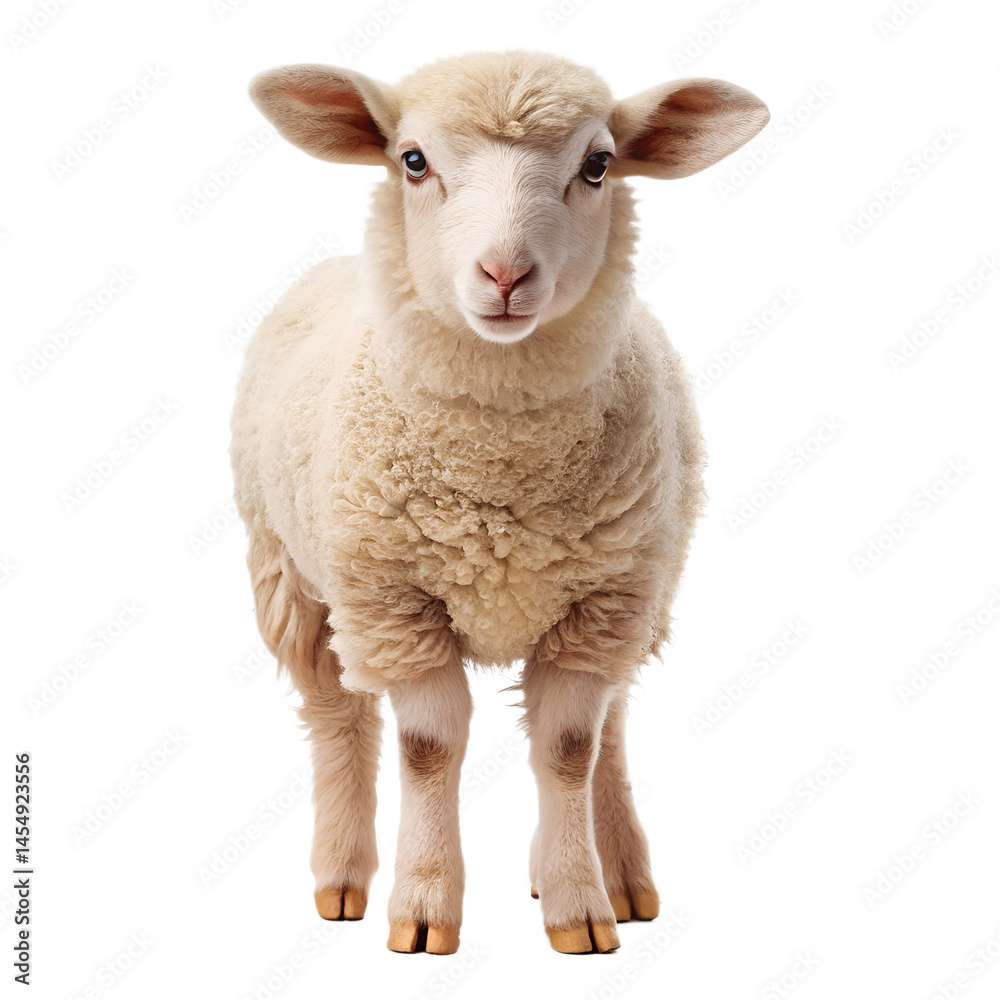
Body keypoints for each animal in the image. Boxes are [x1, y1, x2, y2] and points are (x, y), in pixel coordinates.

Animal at [230, 50, 768, 955]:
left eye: (599, 165)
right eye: (413, 161)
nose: (507, 274)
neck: (499, 468)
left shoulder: (603, 599)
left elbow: (569, 747)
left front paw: (578, 905)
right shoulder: (395, 601)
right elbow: (427, 748)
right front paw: (421, 908)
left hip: (640, 590)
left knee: (610, 730)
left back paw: (620, 871)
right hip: (293, 578)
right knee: (337, 717)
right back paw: (342, 876)